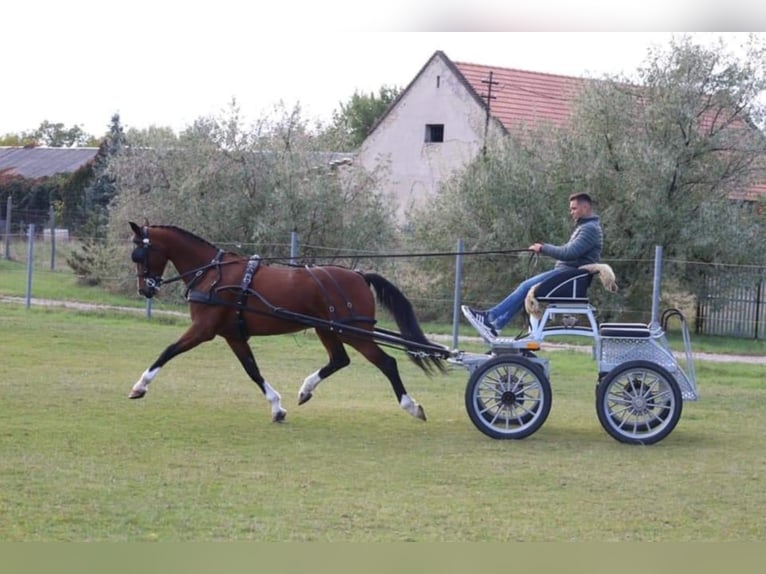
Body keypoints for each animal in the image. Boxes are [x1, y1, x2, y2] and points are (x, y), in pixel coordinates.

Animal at [127, 223, 450, 426]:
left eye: (139, 254)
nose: (145, 290)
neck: (212, 274)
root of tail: (359, 275)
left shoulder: (203, 330)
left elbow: (168, 351)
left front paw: (139, 386)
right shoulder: (233, 335)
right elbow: (253, 371)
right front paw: (277, 408)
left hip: (354, 333)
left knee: (387, 363)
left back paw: (411, 406)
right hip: (328, 329)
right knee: (339, 360)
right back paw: (306, 390)